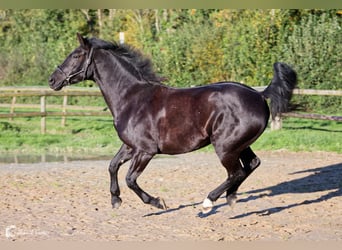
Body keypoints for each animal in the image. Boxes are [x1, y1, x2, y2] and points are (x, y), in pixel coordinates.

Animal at [48, 32, 296, 213]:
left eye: (76, 55)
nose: (52, 80)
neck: (131, 97)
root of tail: (259, 95)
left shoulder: (145, 151)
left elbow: (130, 179)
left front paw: (158, 202)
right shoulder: (130, 147)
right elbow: (112, 166)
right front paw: (115, 200)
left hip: (225, 146)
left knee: (235, 172)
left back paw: (208, 202)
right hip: (238, 144)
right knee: (250, 165)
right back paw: (231, 197)